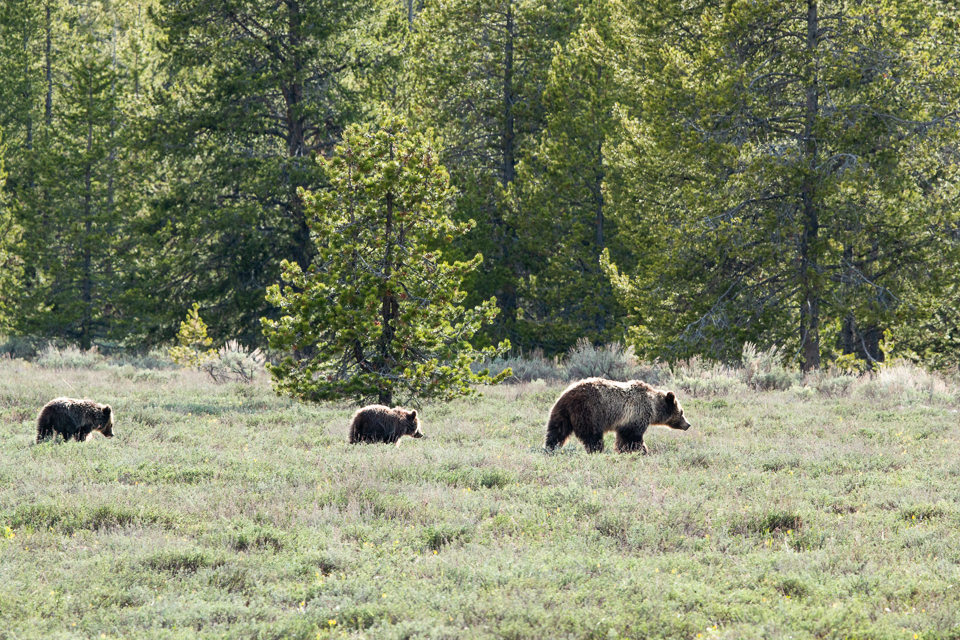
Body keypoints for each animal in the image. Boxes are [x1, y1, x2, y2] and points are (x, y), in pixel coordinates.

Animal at [540, 378, 688, 452]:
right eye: (681, 412)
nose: (688, 424)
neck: (653, 407)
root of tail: (568, 395)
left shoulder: (626, 421)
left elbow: (623, 438)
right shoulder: (636, 414)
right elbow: (632, 437)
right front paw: (642, 451)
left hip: (561, 412)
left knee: (557, 431)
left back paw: (550, 448)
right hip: (589, 411)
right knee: (593, 436)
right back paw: (597, 451)